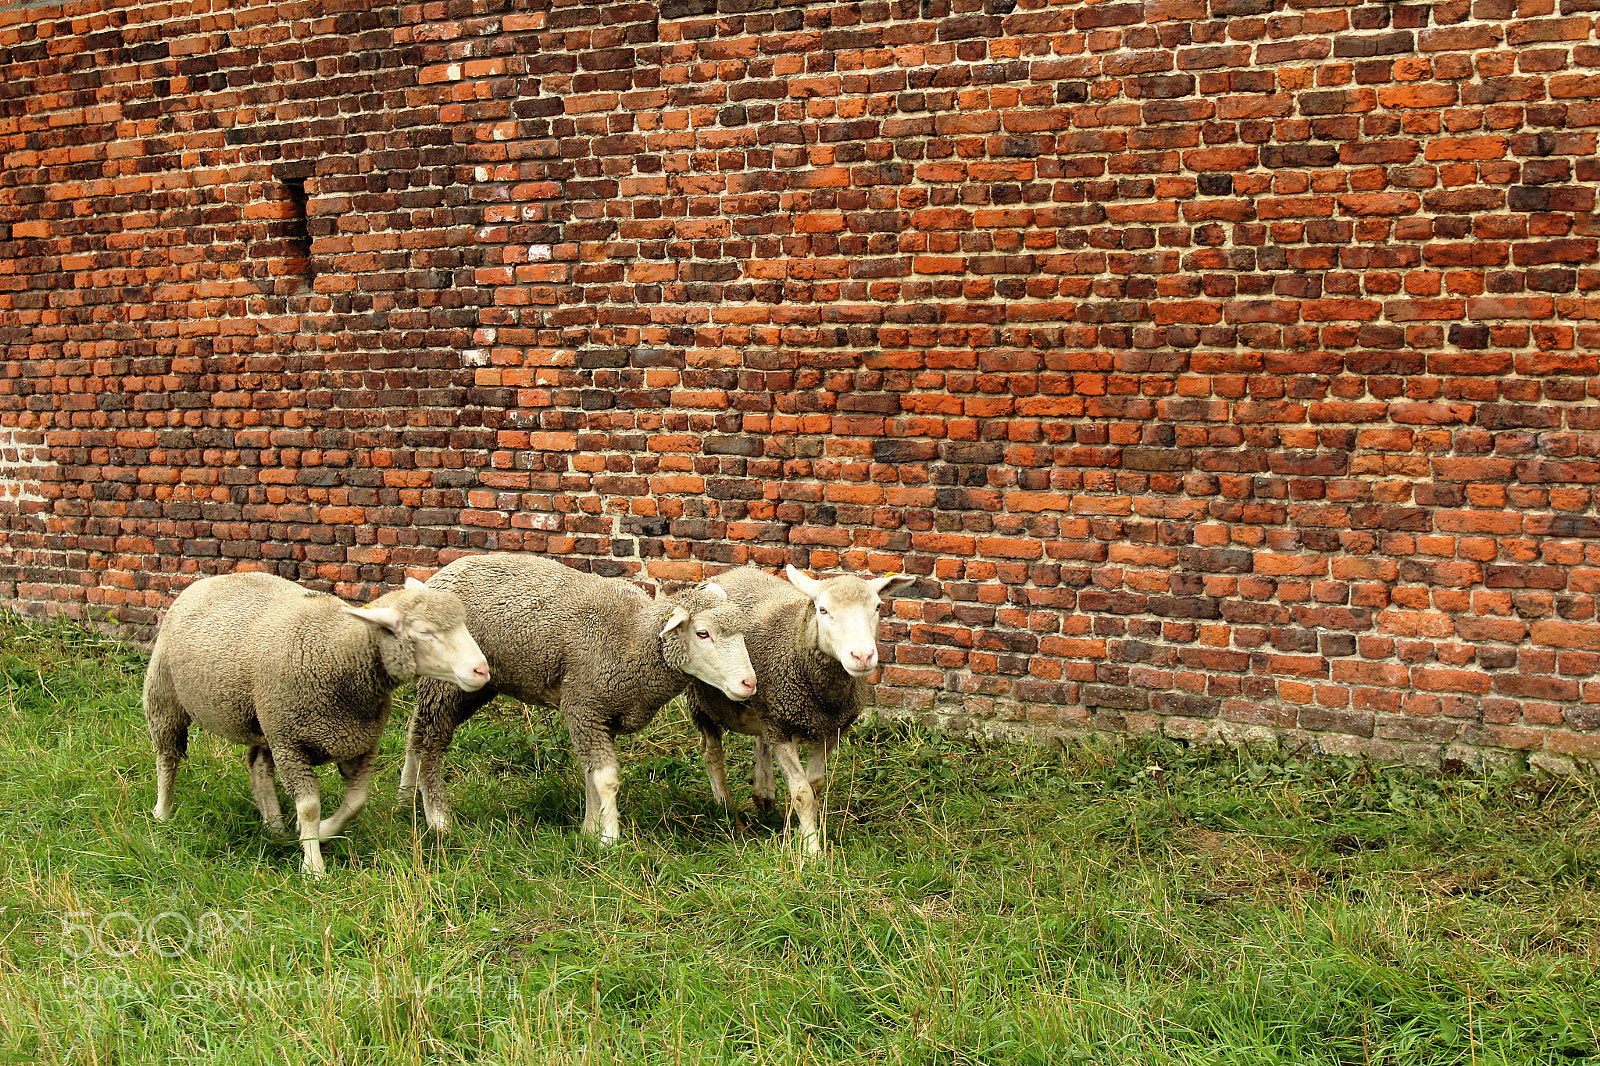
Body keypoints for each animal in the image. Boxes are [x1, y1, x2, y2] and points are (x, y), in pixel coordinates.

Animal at [143, 571, 491, 874]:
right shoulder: (292, 744)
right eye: (425, 632)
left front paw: (321, 832)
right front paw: (313, 867)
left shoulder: (358, 744)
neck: (338, 652)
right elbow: (310, 807)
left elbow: (356, 802)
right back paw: (162, 812)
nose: (482, 670)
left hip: (266, 723)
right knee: (167, 758)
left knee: (258, 766)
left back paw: (274, 825)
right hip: (165, 696)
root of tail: (211, 579)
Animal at [396, 553, 759, 844]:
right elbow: (606, 779)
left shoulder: (600, 713)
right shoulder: (584, 704)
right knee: (430, 744)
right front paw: (609, 840)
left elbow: (590, 775)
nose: (748, 683)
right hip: (446, 685)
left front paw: (588, 830)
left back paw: (405, 798)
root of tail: (434, 579)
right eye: (702, 633)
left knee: (415, 731)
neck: (633, 637)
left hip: (472, 684)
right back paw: (439, 820)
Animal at [685, 564, 916, 854]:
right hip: (703, 703)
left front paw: (806, 833)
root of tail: (731, 572)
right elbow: (802, 794)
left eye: (876, 607)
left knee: (760, 741)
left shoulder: (828, 730)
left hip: (767, 709)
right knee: (712, 755)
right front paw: (812, 850)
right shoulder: (782, 729)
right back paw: (728, 811)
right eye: (823, 610)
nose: (862, 656)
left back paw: (763, 794)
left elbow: (815, 786)